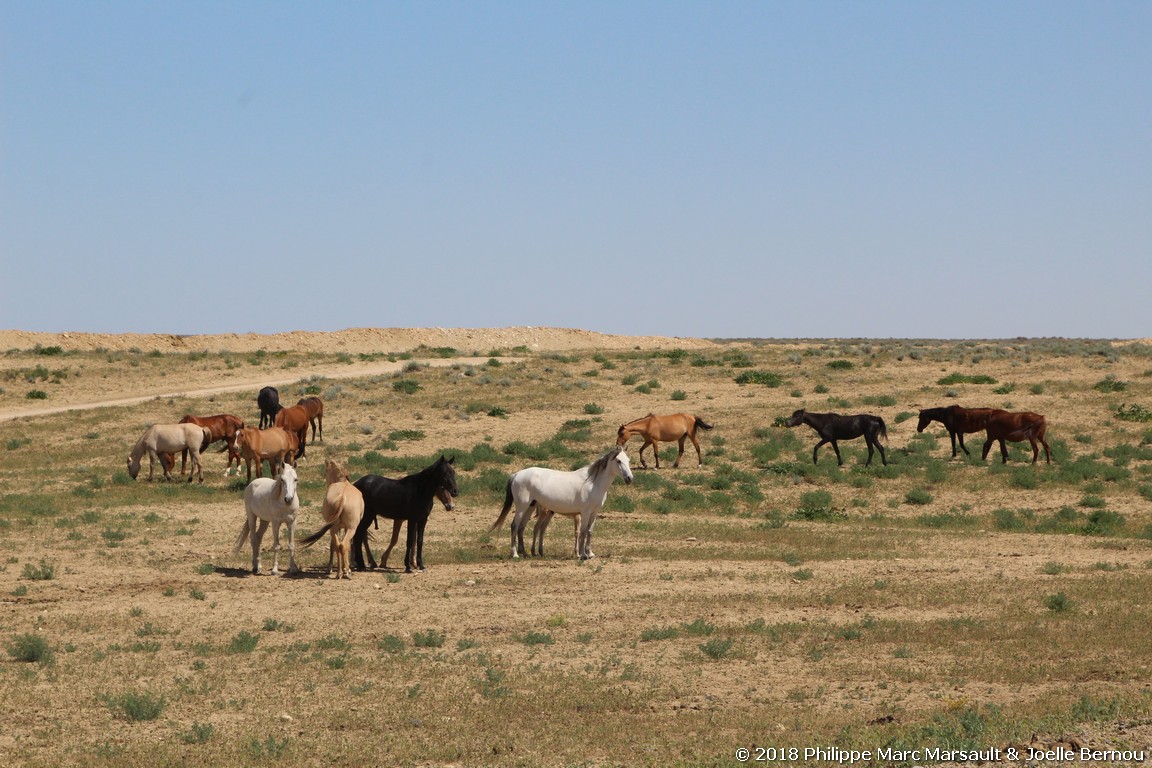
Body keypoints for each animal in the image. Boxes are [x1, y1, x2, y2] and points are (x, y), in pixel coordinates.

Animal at [486, 442, 631, 561]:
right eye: (618, 461)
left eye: (628, 460)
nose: (629, 478)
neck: (593, 482)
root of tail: (516, 474)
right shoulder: (585, 513)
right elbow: (583, 532)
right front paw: (583, 555)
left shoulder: (594, 513)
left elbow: (589, 532)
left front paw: (590, 554)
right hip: (521, 507)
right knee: (514, 526)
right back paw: (514, 554)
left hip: (530, 507)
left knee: (521, 527)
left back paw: (525, 553)